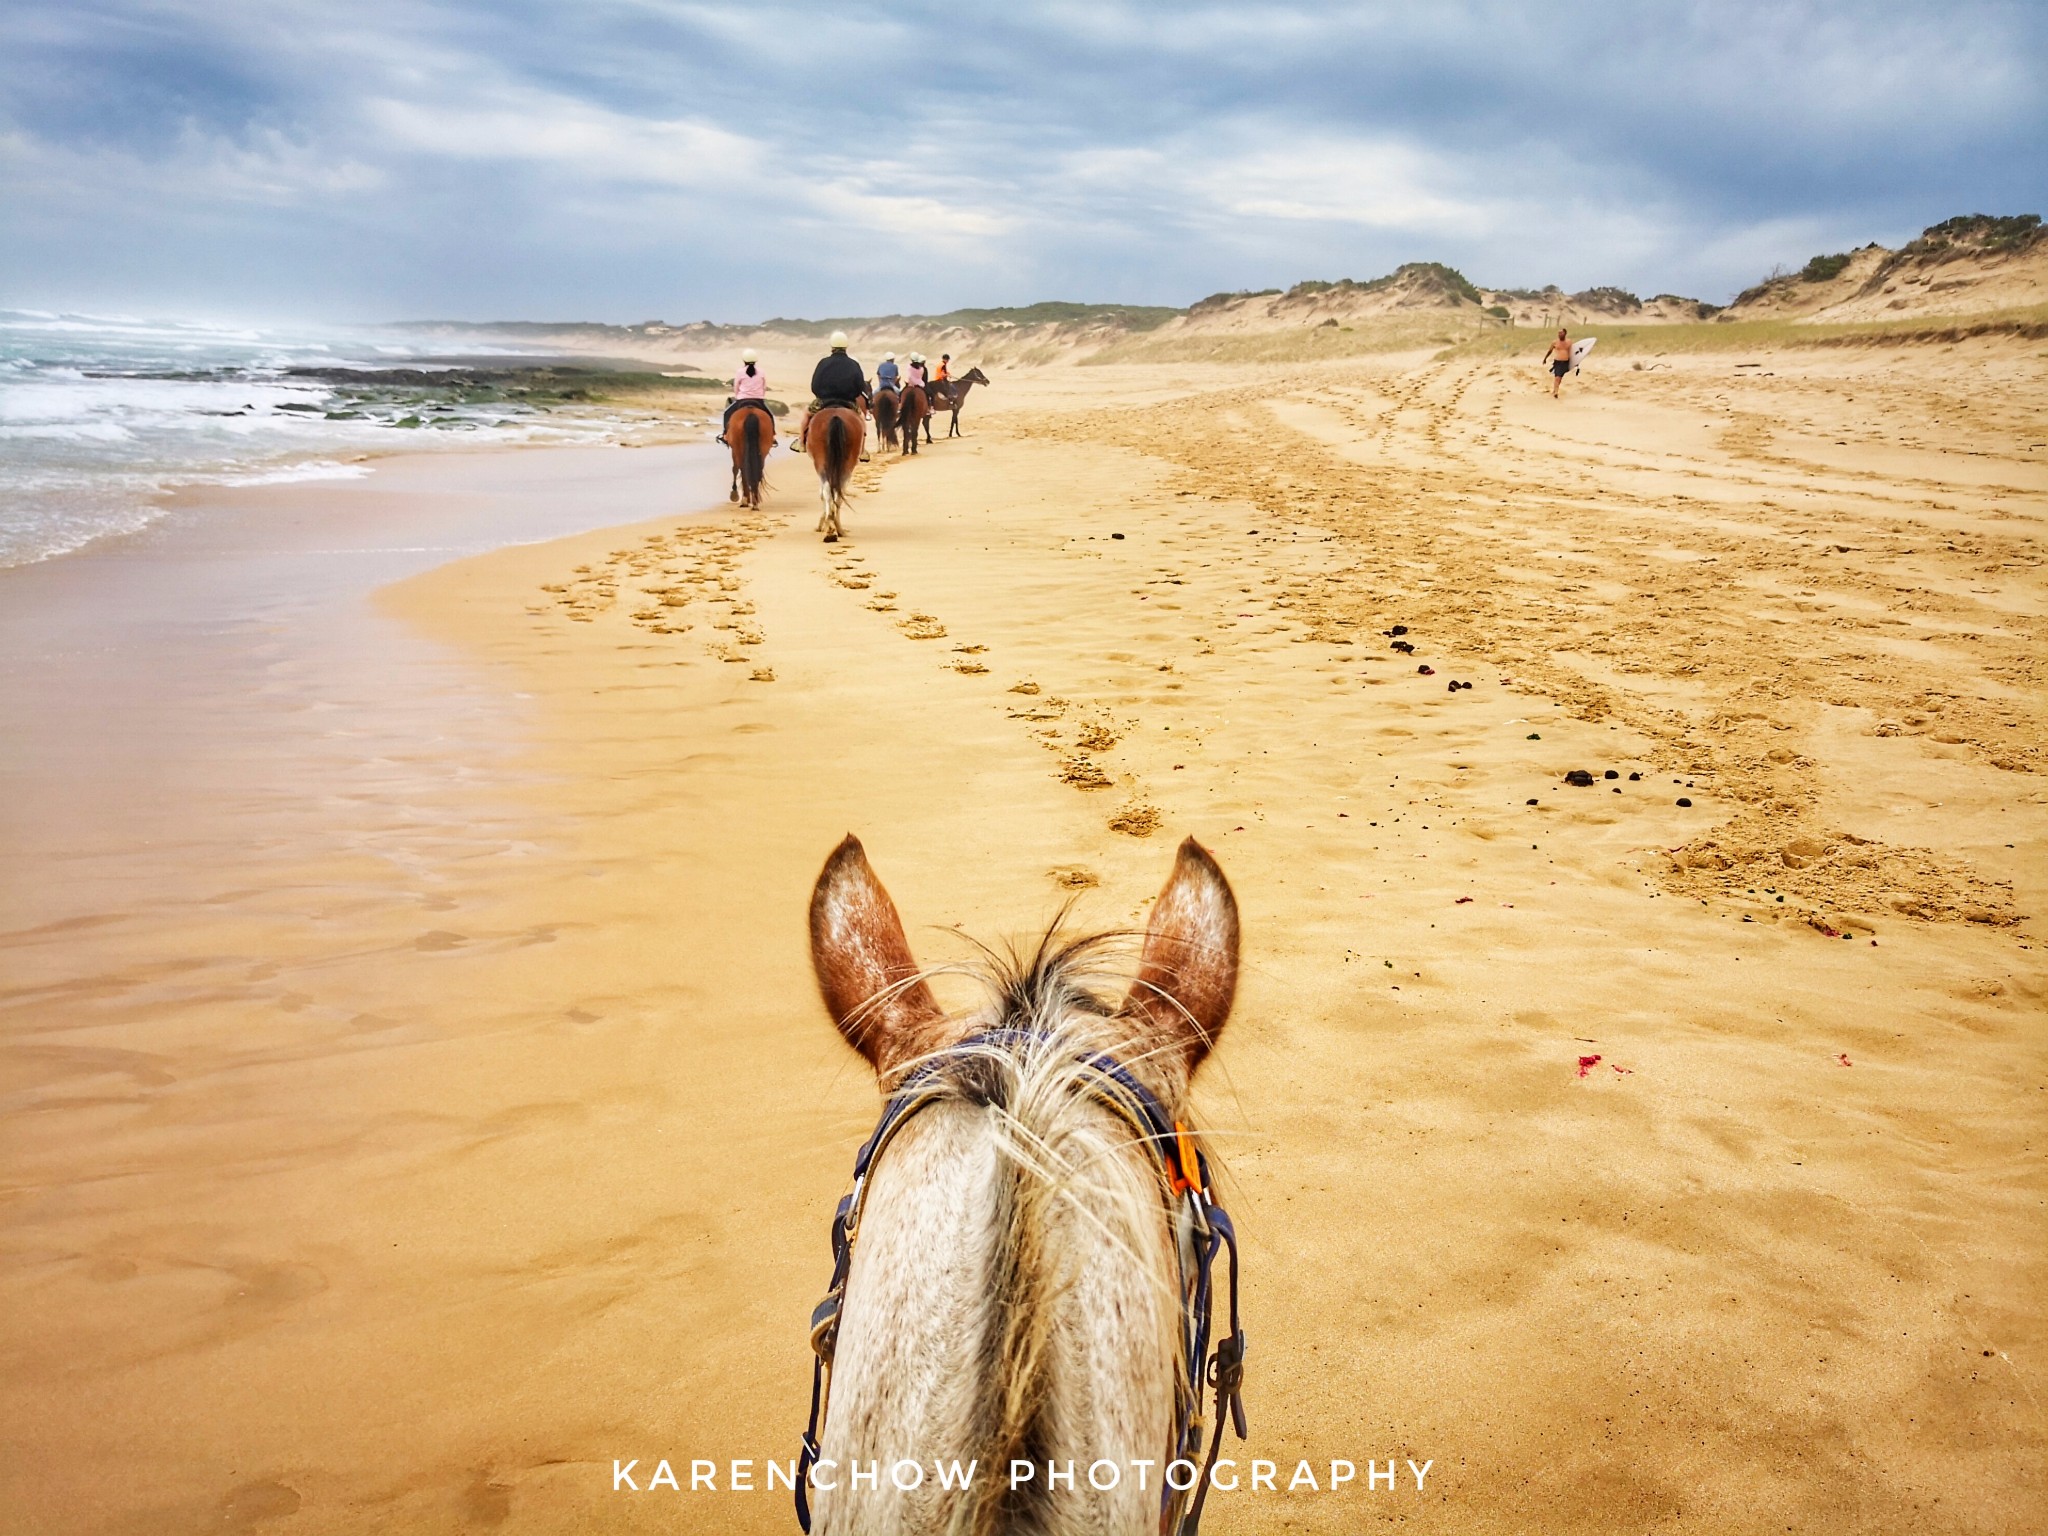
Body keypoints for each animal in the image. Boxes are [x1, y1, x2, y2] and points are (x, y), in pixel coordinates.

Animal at [802, 405, 860, 544]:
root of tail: (835, 416)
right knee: (838, 492)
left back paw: (832, 528)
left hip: (822, 464)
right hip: (846, 466)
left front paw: (821, 524)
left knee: (828, 491)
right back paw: (835, 528)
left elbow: (822, 494)